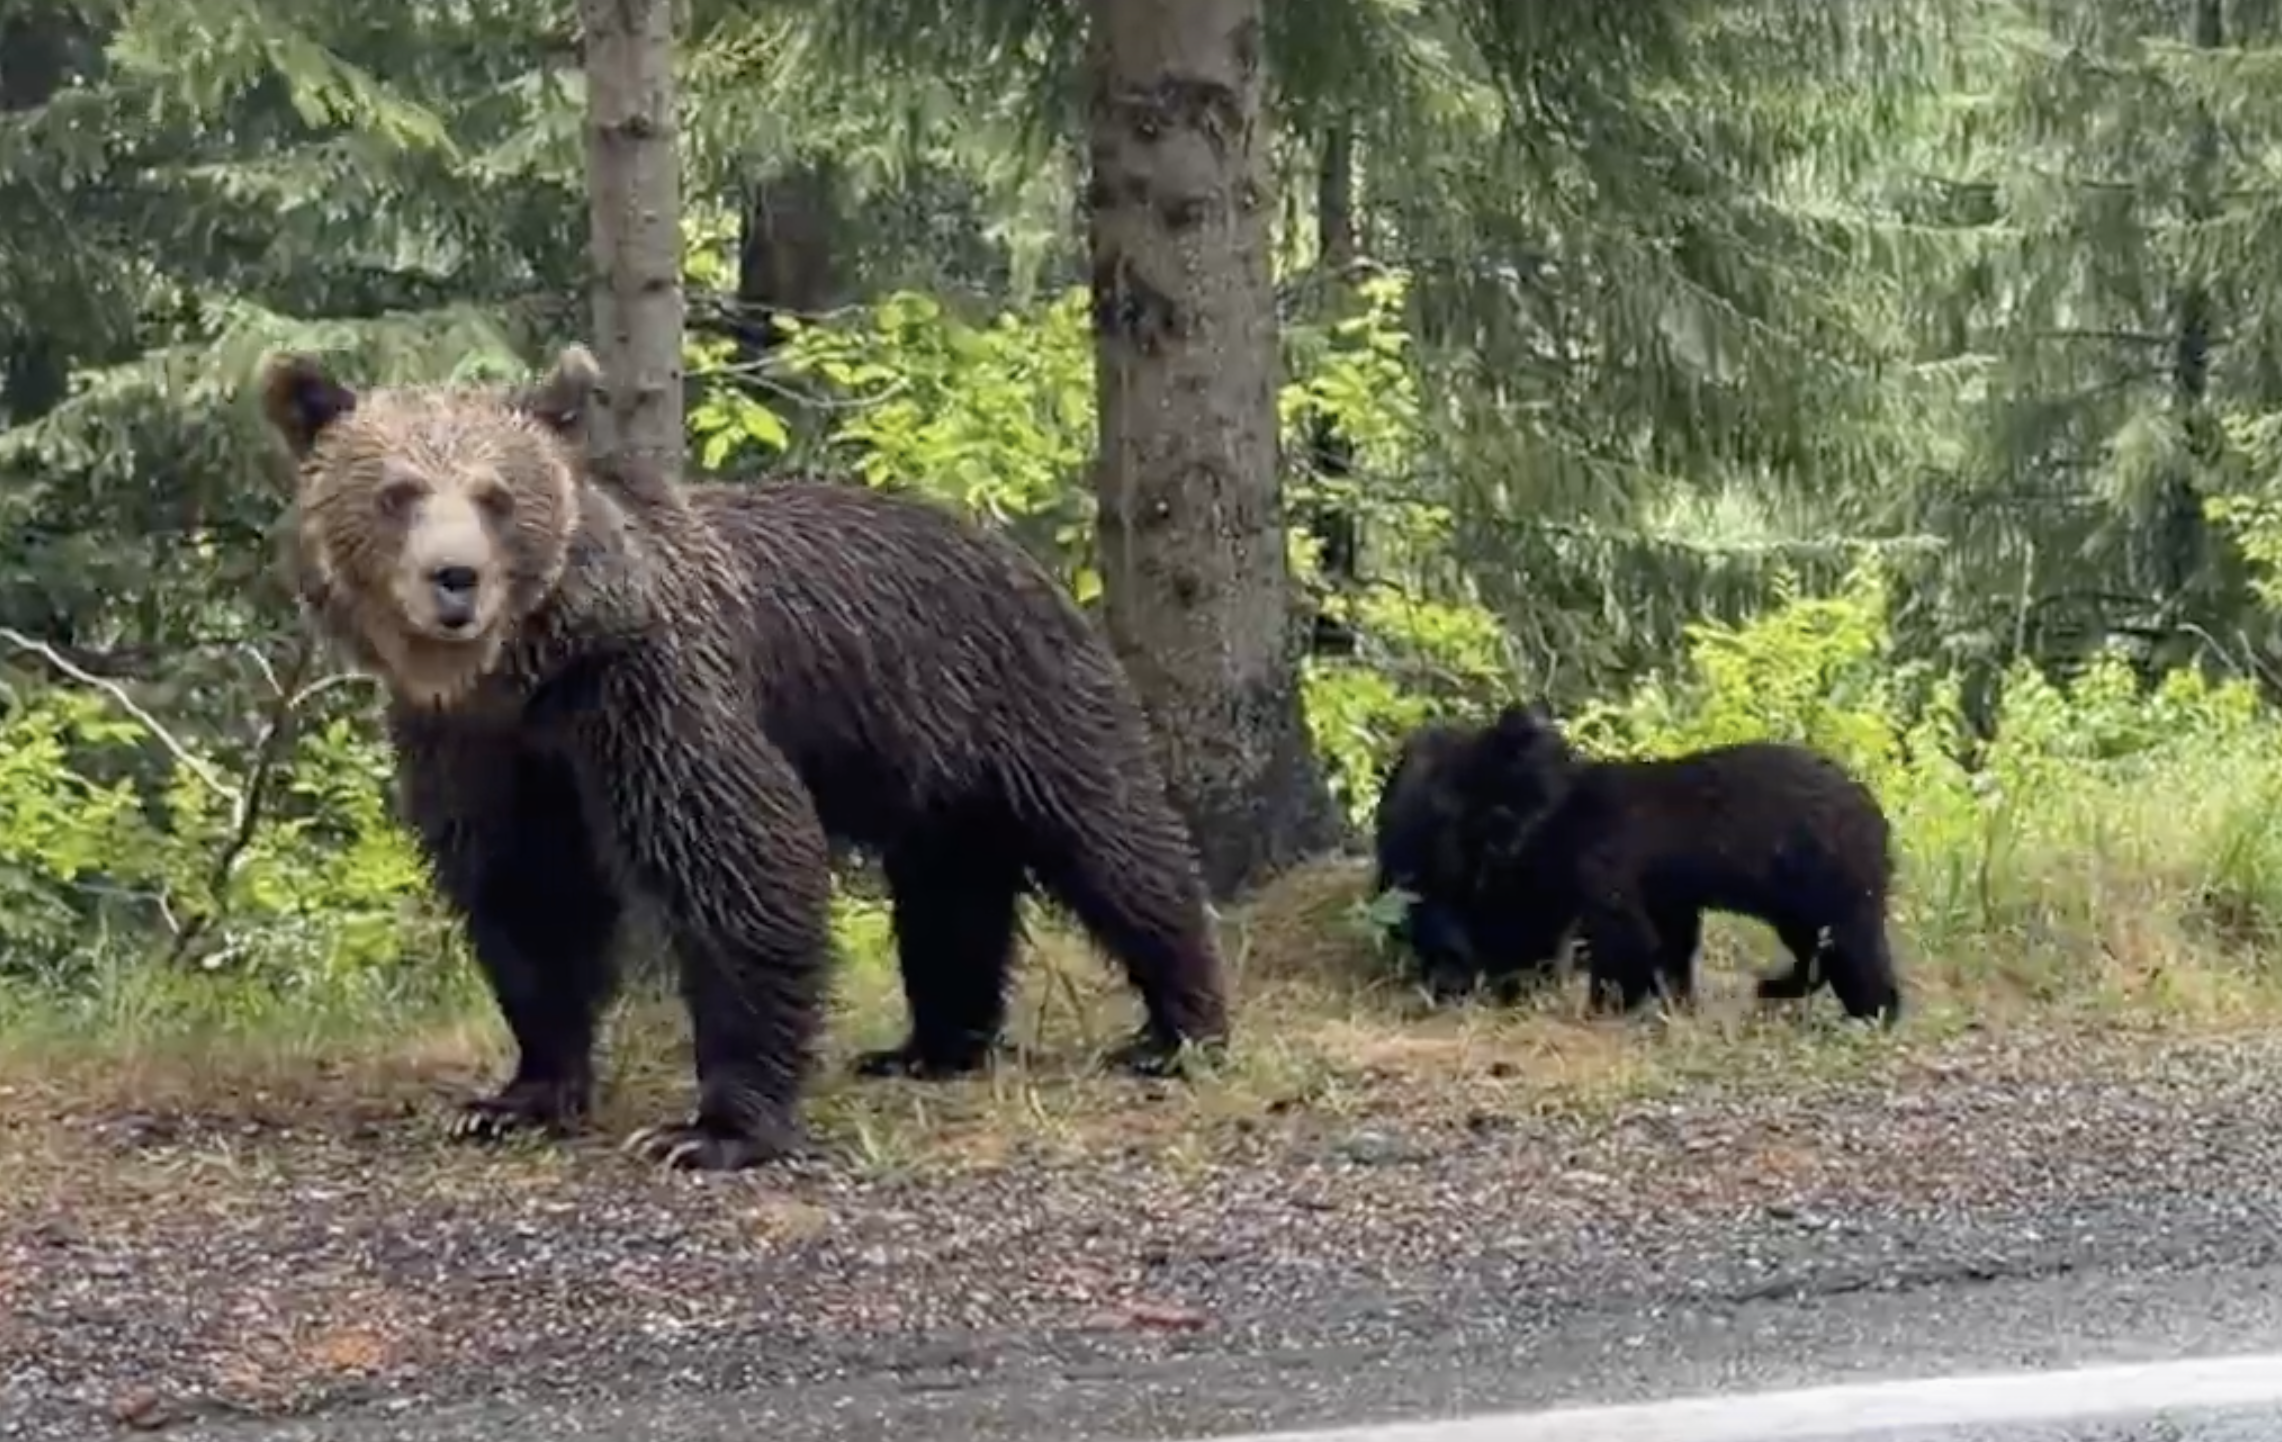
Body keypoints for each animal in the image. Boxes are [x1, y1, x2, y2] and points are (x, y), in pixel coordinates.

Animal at [258, 344, 1230, 1171]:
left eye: (497, 494)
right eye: (397, 491)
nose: (454, 579)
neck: (535, 674)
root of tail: (1015, 552)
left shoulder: (654, 689)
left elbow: (737, 859)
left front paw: (714, 1128)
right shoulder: (478, 745)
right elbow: (528, 894)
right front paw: (515, 1097)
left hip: (1019, 700)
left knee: (1116, 849)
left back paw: (1179, 1028)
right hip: (932, 774)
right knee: (949, 896)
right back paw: (929, 1046)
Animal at [1380, 702, 1902, 1024]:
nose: (1509, 983)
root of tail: (1879, 818)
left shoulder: (1607, 861)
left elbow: (1625, 936)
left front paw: (1605, 1005)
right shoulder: (1668, 889)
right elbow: (1671, 937)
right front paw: (1676, 999)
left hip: (1832, 875)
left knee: (1852, 946)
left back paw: (1873, 1012)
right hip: (1796, 895)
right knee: (1814, 948)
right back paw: (1779, 986)